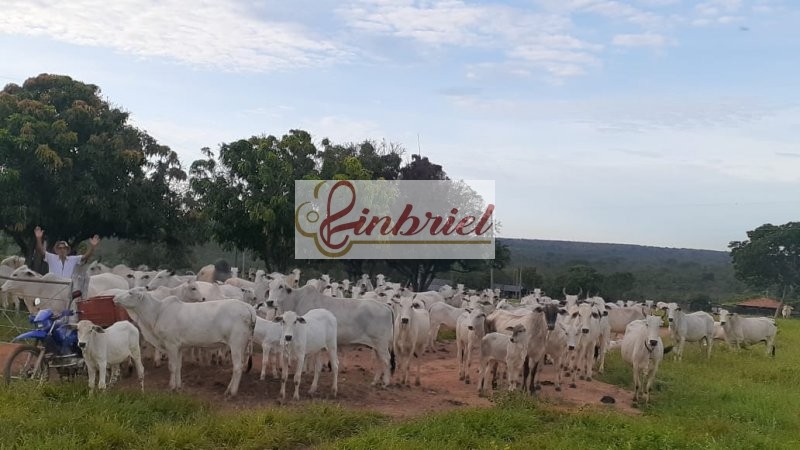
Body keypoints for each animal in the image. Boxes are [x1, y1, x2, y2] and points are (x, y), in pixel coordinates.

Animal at [112, 288, 255, 394]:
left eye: (130, 293)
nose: (114, 298)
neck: (158, 312)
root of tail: (248, 307)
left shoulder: (171, 345)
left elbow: (172, 366)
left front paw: (172, 387)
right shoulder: (179, 346)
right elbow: (178, 367)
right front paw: (178, 385)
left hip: (236, 344)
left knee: (237, 367)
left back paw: (231, 392)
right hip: (243, 345)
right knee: (241, 365)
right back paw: (229, 389)